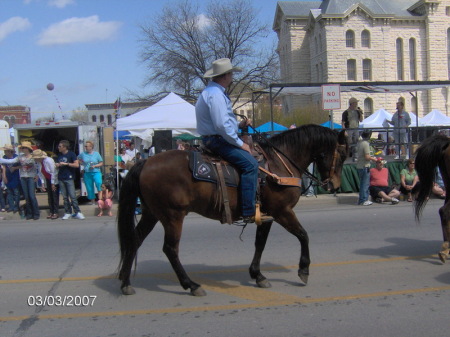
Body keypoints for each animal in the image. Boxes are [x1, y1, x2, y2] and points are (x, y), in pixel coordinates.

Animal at [117, 123, 348, 294]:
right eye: (343, 155)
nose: (334, 185)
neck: (278, 164)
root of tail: (145, 163)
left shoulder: (267, 215)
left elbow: (260, 243)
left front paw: (258, 275)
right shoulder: (282, 211)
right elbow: (303, 235)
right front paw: (304, 269)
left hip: (152, 213)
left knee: (135, 240)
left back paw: (126, 283)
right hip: (172, 216)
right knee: (170, 249)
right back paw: (191, 285)